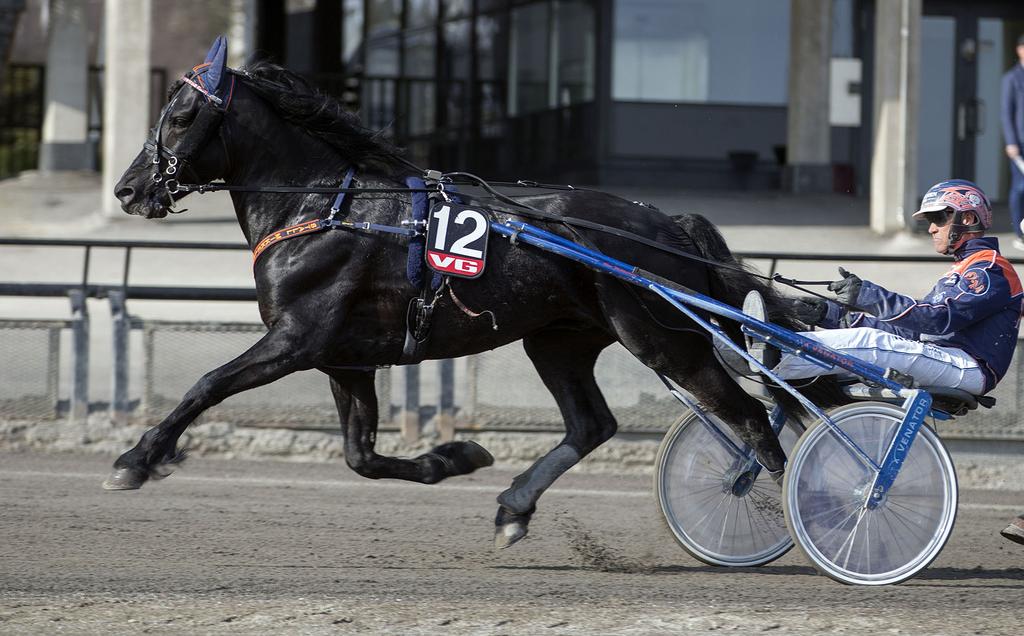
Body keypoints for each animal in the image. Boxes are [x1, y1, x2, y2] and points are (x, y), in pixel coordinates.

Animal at [105, 38, 806, 544]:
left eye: (181, 115)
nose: (128, 189)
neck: (324, 205)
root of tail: (670, 225)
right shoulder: (345, 359)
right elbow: (361, 456)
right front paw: (456, 457)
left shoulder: (297, 338)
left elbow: (207, 384)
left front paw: (137, 459)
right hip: (559, 341)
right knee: (592, 424)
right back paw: (514, 507)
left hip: (665, 341)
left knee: (750, 419)